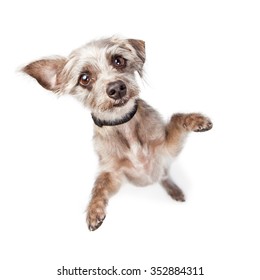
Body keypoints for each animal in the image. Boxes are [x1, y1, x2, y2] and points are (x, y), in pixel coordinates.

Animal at [22, 36, 212, 231]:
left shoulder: (167, 148)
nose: (117, 88)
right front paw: (94, 209)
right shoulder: (113, 174)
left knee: (165, 176)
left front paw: (197, 120)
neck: (125, 126)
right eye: (84, 78)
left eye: (118, 61)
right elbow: (99, 185)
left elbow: (176, 118)